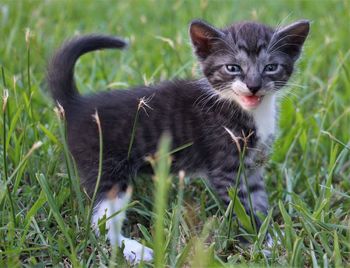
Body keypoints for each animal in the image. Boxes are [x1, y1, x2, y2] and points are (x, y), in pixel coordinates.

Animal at [46, 19, 308, 264]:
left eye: (271, 67)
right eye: (232, 68)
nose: (253, 86)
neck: (244, 108)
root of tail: (75, 105)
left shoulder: (252, 167)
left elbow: (258, 201)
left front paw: (271, 239)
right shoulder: (225, 167)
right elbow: (242, 205)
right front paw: (259, 241)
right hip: (106, 168)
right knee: (99, 221)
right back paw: (134, 250)